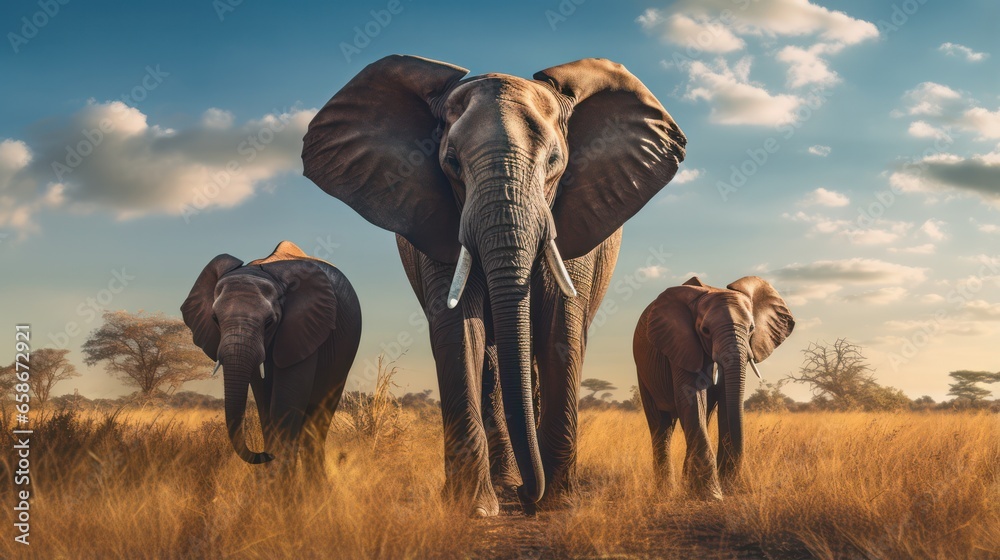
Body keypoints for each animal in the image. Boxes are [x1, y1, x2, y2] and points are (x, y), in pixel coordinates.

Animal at [181, 241, 362, 477]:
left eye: (269, 322)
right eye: (215, 319)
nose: (263, 454)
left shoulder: (304, 326)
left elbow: (286, 400)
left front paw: (281, 483)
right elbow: (263, 397)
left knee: (318, 419)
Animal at [302, 55, 686, 515]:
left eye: (555, 162)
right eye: (451, 163)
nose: (527, 496)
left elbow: (560, 327)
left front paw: (557, 505)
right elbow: (459, 330)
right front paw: (475, 508)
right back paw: (505, 482)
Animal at [633, 276, 794, 499]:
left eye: (751, 329)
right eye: (705, 331)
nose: (733, 486)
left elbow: (726, 400)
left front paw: (721, 488)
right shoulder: (681, 343)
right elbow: (691, 398)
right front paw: (712, 496)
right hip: (644, 371)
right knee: (661, 425)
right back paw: (665, 491)